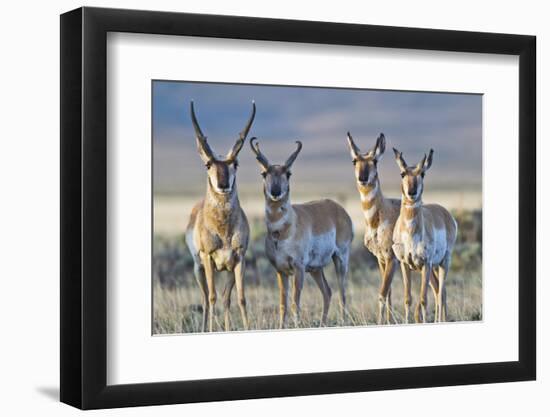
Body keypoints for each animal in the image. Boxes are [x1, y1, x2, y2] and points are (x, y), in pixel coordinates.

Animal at [184, 101, 256, 332]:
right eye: (208, 164)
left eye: (236, 163)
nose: (223, 184)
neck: (223, 230)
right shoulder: (208, 259)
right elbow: (212, 297)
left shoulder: (239, 259)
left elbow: (240, 298)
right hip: (199, 269)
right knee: (207, 299)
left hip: (226, 270)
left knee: (225, 298)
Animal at [250, 138, 354, 326]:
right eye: (264, 173)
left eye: (288, 173)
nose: (275, 192)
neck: (282, 232)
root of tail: (338, 208)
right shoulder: (281, 271)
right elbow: (283, 304)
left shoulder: (298, 268)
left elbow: (294, 303)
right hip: (315, 269)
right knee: (327, 292)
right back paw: (322, 323)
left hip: (340, 259)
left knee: (342, 292)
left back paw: (342, 321)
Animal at [350, 132, 402, 324]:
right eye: (354, 160)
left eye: (375, 160)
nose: (362, 178)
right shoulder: (381, 259)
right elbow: (388, 293)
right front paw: (389, 321)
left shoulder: (391, 259)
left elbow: (382, 294)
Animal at [392, 148, 462, 324]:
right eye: (402, 173)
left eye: (422, 173)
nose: (412, 192)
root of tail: (445, 213)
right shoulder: (405, 264)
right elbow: (408, 299)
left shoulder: (426, 263)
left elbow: (423, 300)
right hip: (433, 269)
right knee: (439, 291)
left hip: (443, 263)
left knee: (441, 292)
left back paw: (441, 321)